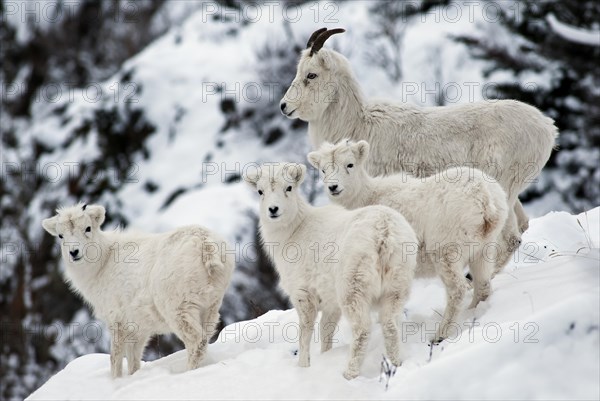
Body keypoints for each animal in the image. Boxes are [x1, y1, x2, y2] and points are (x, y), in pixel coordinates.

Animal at [41, 205, 234, 376]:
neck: (102, 265)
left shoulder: (117, 321)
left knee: (195, 341)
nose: (74, 252)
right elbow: (134, 361)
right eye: (61, 235)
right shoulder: (138, 329)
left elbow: (115, 358)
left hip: (178, 309)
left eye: (88, 228)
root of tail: (205, 244)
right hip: (210, 307)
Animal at [244, 162, 418, 378]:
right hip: (396, 286)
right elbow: (326, 332)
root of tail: (384, 232)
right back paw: (395, 365)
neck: (293, 232)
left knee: (362, 329)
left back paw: (349, 373)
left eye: (289, 188)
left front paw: (303, 366)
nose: (273, 209)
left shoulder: (303, 295)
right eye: (260, 191)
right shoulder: (330, 303)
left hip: (353, 289)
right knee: (390, 324)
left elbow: (305, 332)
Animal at [282, 27, 556, 272]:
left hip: (505, 188)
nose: (284, 106)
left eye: (311, 75)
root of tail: (547, 128)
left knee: (509, 238)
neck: (358, 123)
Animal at [310, 141, 510, 340]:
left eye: (350, 164)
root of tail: (484, 197)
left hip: (446, 250)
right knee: (483, 285)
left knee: (458, 290)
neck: (366, 197)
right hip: (483, 249)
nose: (333, 187)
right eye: (323, 169)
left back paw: (440, 335)